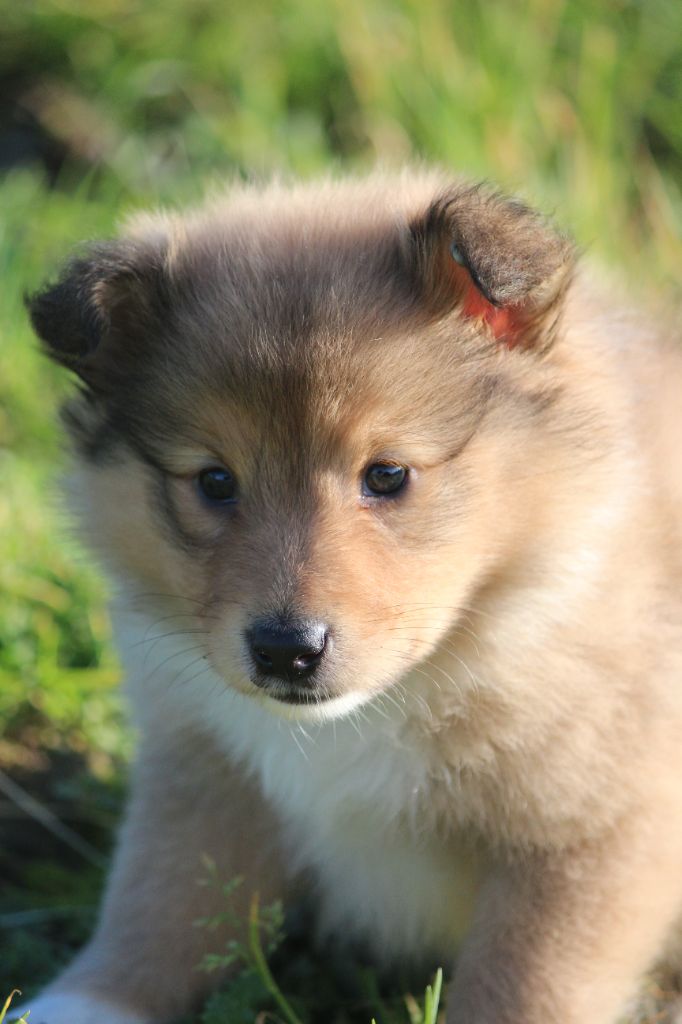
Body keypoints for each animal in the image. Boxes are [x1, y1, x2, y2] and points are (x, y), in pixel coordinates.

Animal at [23, 172, 679, 1019]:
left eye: (388, 474)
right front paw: (82, 1001)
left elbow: (524, 983)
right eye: (215, 481)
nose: (285, 651)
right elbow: (158, 903)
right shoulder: (204, 772)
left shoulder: (592, 830)